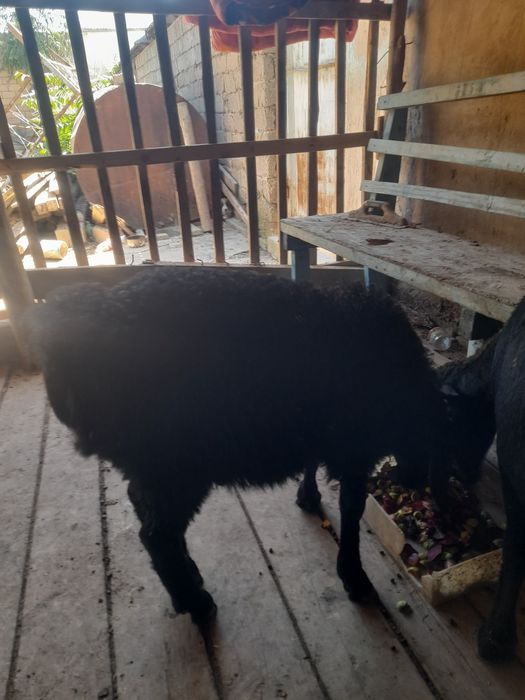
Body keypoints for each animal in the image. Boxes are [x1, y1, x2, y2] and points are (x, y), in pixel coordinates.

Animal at [30, 268, 450, 624]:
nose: (415, 482)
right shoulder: (354, 449)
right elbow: (352, 511)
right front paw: (354, 578)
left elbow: (313, 463)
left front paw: (308, 496)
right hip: (175, 463)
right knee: (156, 535)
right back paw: (194, 602)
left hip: (154, 463)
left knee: (145, 509)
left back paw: (190, 576)